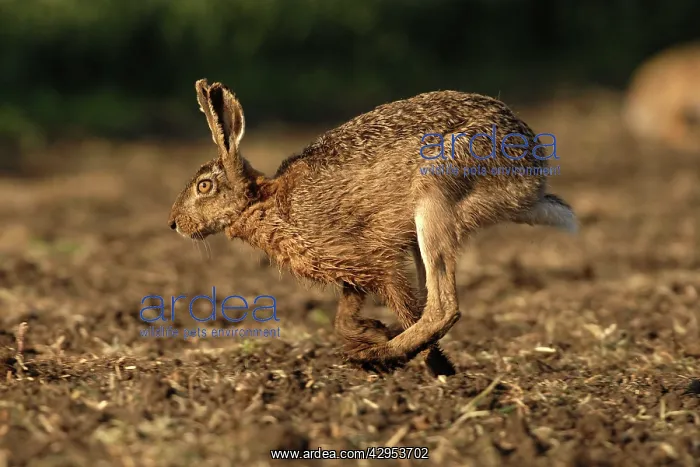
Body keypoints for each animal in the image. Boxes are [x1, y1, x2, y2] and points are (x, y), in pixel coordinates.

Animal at [168, 79, 577, 376]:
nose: (173, 223)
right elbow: (342, 318)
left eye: (204, 186)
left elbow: (407, 307)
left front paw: (434, 366)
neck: (264, 201)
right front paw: (375, 331)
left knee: (443, 307)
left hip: (436, 197)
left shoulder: (375, 258)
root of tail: (532, 178)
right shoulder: (351, 270)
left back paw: (376, 358)